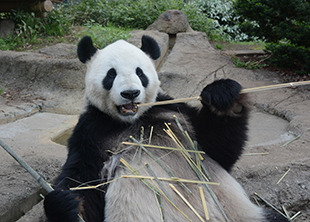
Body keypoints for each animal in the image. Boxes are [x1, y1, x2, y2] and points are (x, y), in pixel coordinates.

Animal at [43, 35, 288, 221]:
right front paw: (65, 203)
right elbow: (83, 180)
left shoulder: (175, 111)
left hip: (238, 212)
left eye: (140, 72)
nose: (130, 93)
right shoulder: (92, 131)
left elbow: (217, 149)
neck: (133, 120)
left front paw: (224, 96)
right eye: (111, 74)